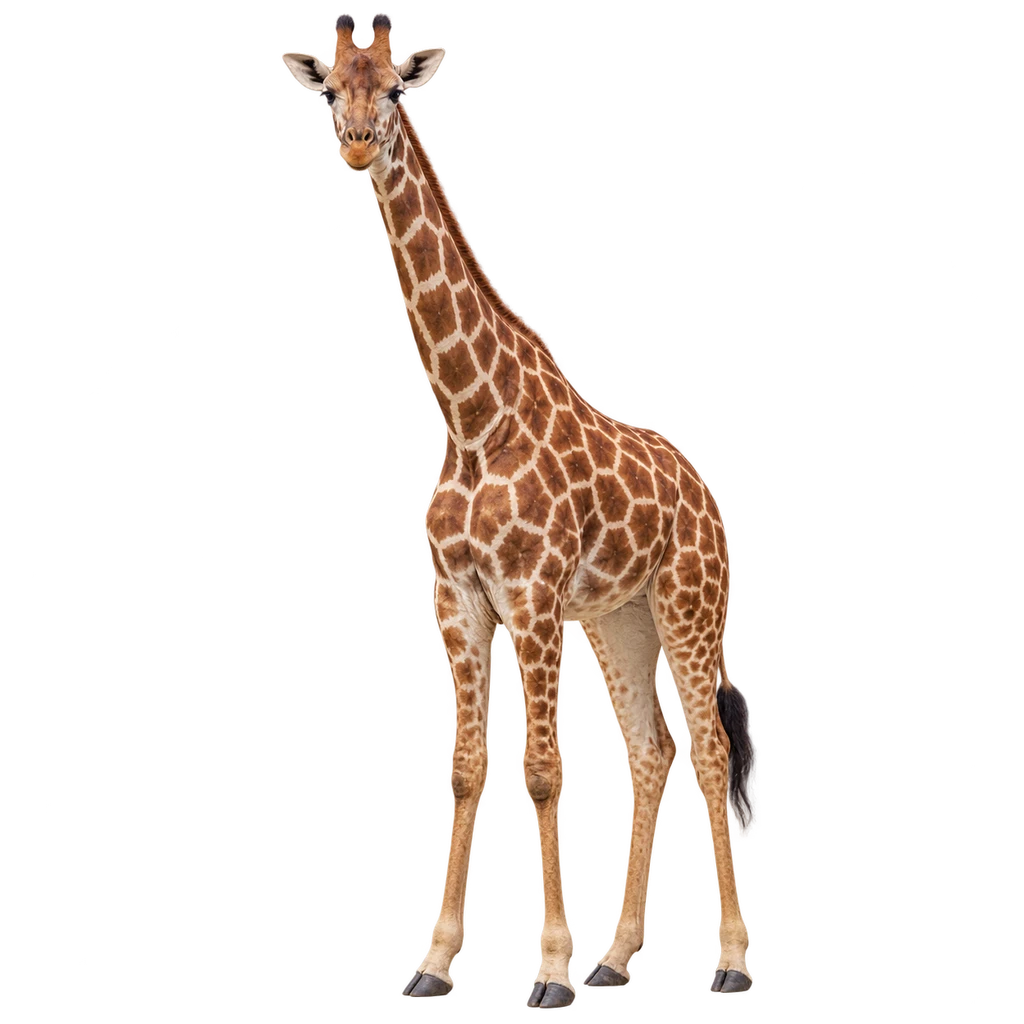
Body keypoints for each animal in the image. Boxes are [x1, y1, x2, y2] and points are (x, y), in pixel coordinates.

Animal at [281, 12, 758, 1005]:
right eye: (330, 88)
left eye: (396, 89)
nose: (356, 142)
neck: (468, 415)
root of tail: (706, 495)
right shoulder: (458, 600)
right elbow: (466, 771)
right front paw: (434, 963)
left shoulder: (532, 598)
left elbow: (541, 771)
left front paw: (546, 968)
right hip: (620, 619)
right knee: (650, 750)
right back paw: (614, 963)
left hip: (688, 608)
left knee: (710, 750)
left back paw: (730, 964)